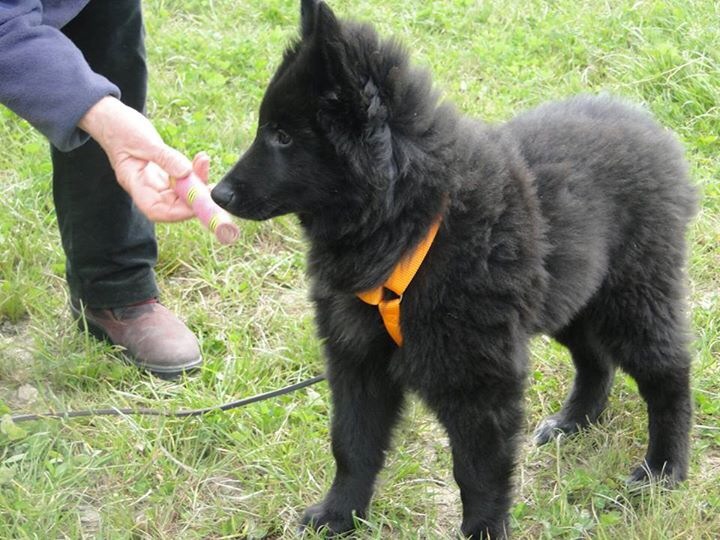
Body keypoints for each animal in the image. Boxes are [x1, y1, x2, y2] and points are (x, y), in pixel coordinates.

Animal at [211, 1, 696, 536]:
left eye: (282, 136)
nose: (216, 194)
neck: (415, 220)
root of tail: (649, 125)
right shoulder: (357, 357)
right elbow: (351, 445)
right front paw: (339, 514)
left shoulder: (478, 377)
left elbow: (477, 471)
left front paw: (482, 530)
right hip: (571, 295)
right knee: (594, 358)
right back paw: (574, 421)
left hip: (633, 294)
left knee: (667, 373)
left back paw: (663, 469)